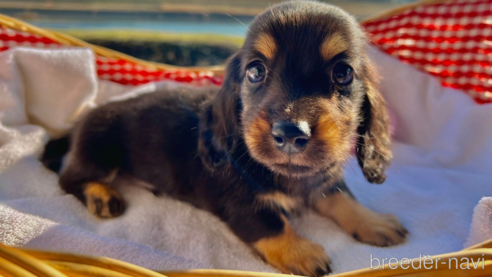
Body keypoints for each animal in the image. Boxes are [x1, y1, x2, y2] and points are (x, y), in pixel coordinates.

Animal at [40, 1, 408, 274]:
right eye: (255, 70)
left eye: (343, 73)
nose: (290, 133)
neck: (290, 177)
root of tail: (80, 122)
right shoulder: (237, 203)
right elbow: (270, 223)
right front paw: (301, 252)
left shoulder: (321, 178)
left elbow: (342, 197)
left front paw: (373, 222)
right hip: (98, 152)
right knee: (68, 179)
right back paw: (101, 194)